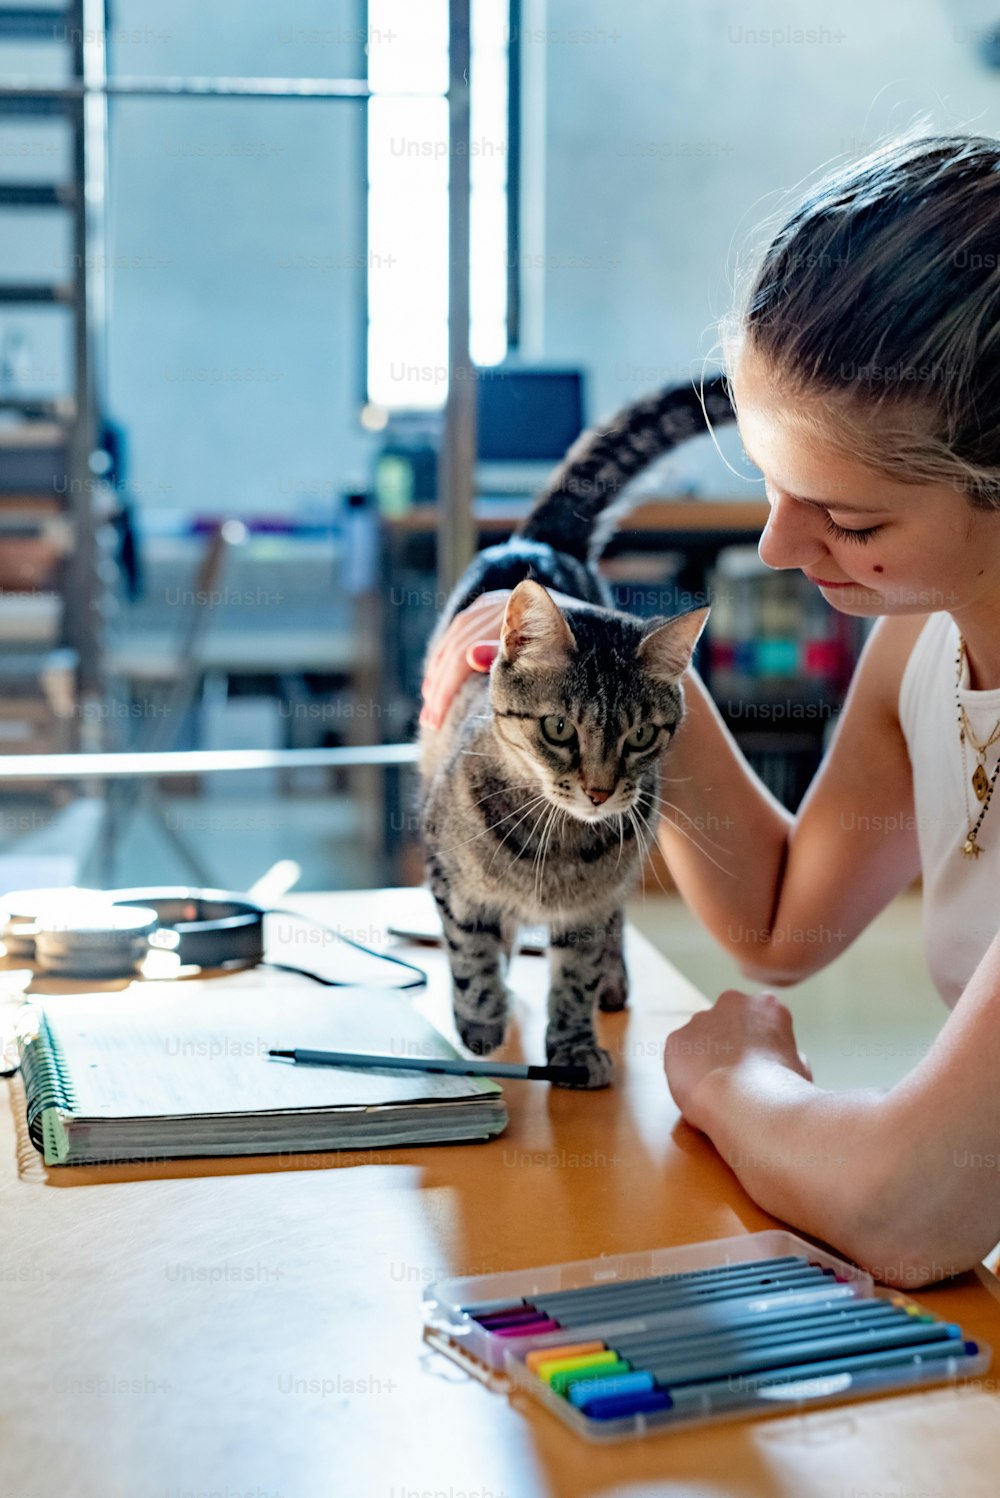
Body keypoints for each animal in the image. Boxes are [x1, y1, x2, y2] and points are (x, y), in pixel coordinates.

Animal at [419, 374, 739, 1090]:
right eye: (560, 728)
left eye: (641, 737)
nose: (599, 791)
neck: (559, 844)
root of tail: (538, 543)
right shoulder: (449, 874)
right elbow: (470, 948)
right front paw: (481, 1020)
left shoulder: (589, 911)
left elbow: (575, 974)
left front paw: (569, 1047)